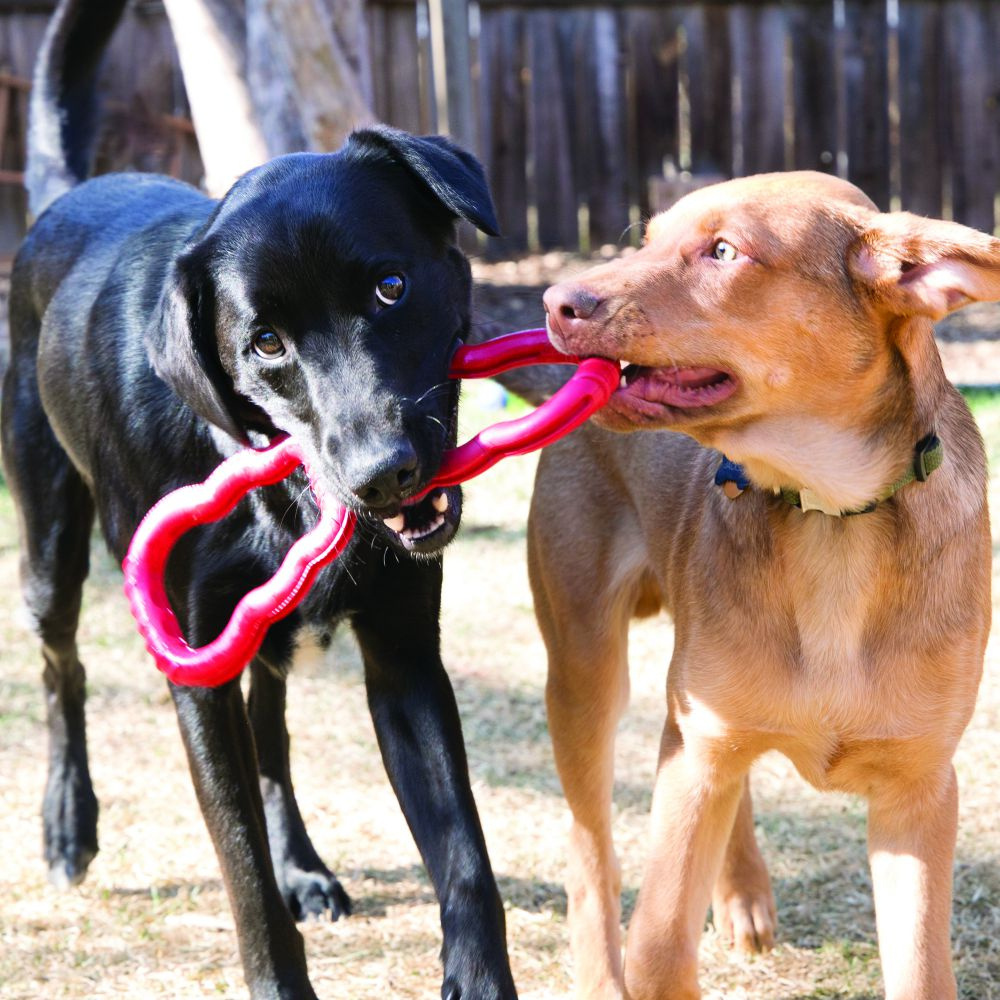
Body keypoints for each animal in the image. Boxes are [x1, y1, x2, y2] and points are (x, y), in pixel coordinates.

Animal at [3, 1, 520, 1000]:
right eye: (266, 344)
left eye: (391, 286)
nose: (383, 474)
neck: (277, 492)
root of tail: (64, 194)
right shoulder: (196, 671)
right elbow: (238, 864)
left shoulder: (404, 653)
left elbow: (467, 855)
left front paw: (479, 980)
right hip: (50, 550)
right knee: (61, 670)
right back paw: (67, 822)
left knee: (272, 729)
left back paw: (304, 867)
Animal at [532, 174, 992, 1000]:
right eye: (647, 240)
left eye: (724, 252)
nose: (555, 303)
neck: (831, 517)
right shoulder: (697, 760)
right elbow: (658, 951)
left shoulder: (919, 792)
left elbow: (920, 972)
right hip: (585, 669)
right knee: (592, 857)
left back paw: (742, 892)